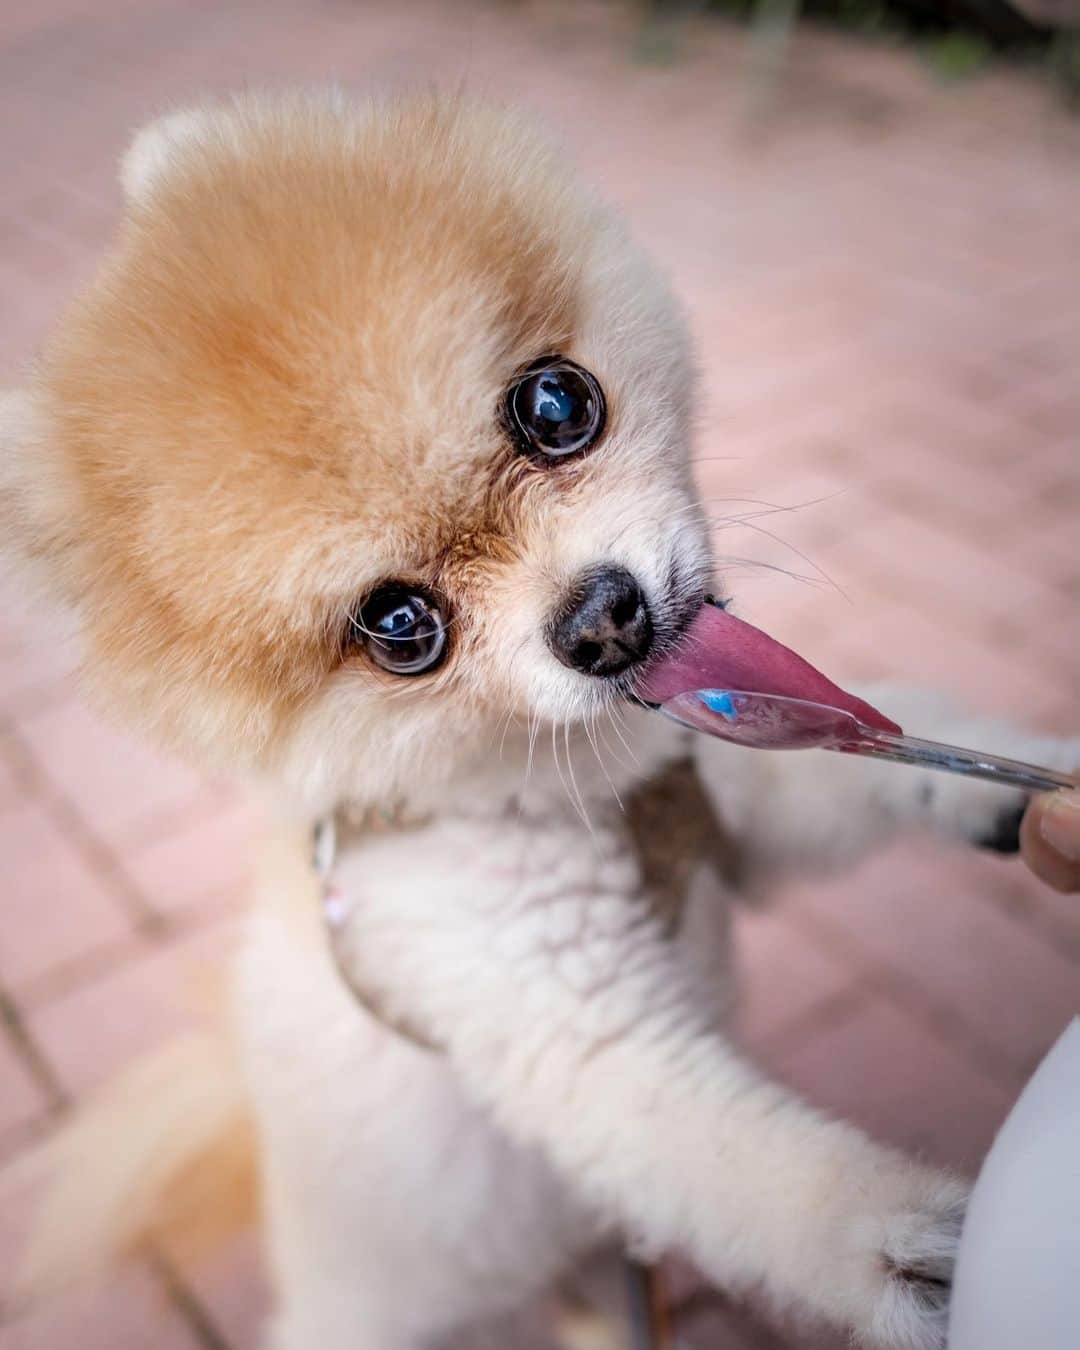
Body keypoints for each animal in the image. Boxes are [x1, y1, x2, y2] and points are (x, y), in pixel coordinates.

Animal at [4, 92, 1074, 1350]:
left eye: (558, 404)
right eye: (399, 627)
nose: (604, 620)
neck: (589, 788)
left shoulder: (731, 803)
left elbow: (866, 754)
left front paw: (1015, 781)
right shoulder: (556, 1011)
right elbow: (729, 1158)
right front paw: (904, 1244)